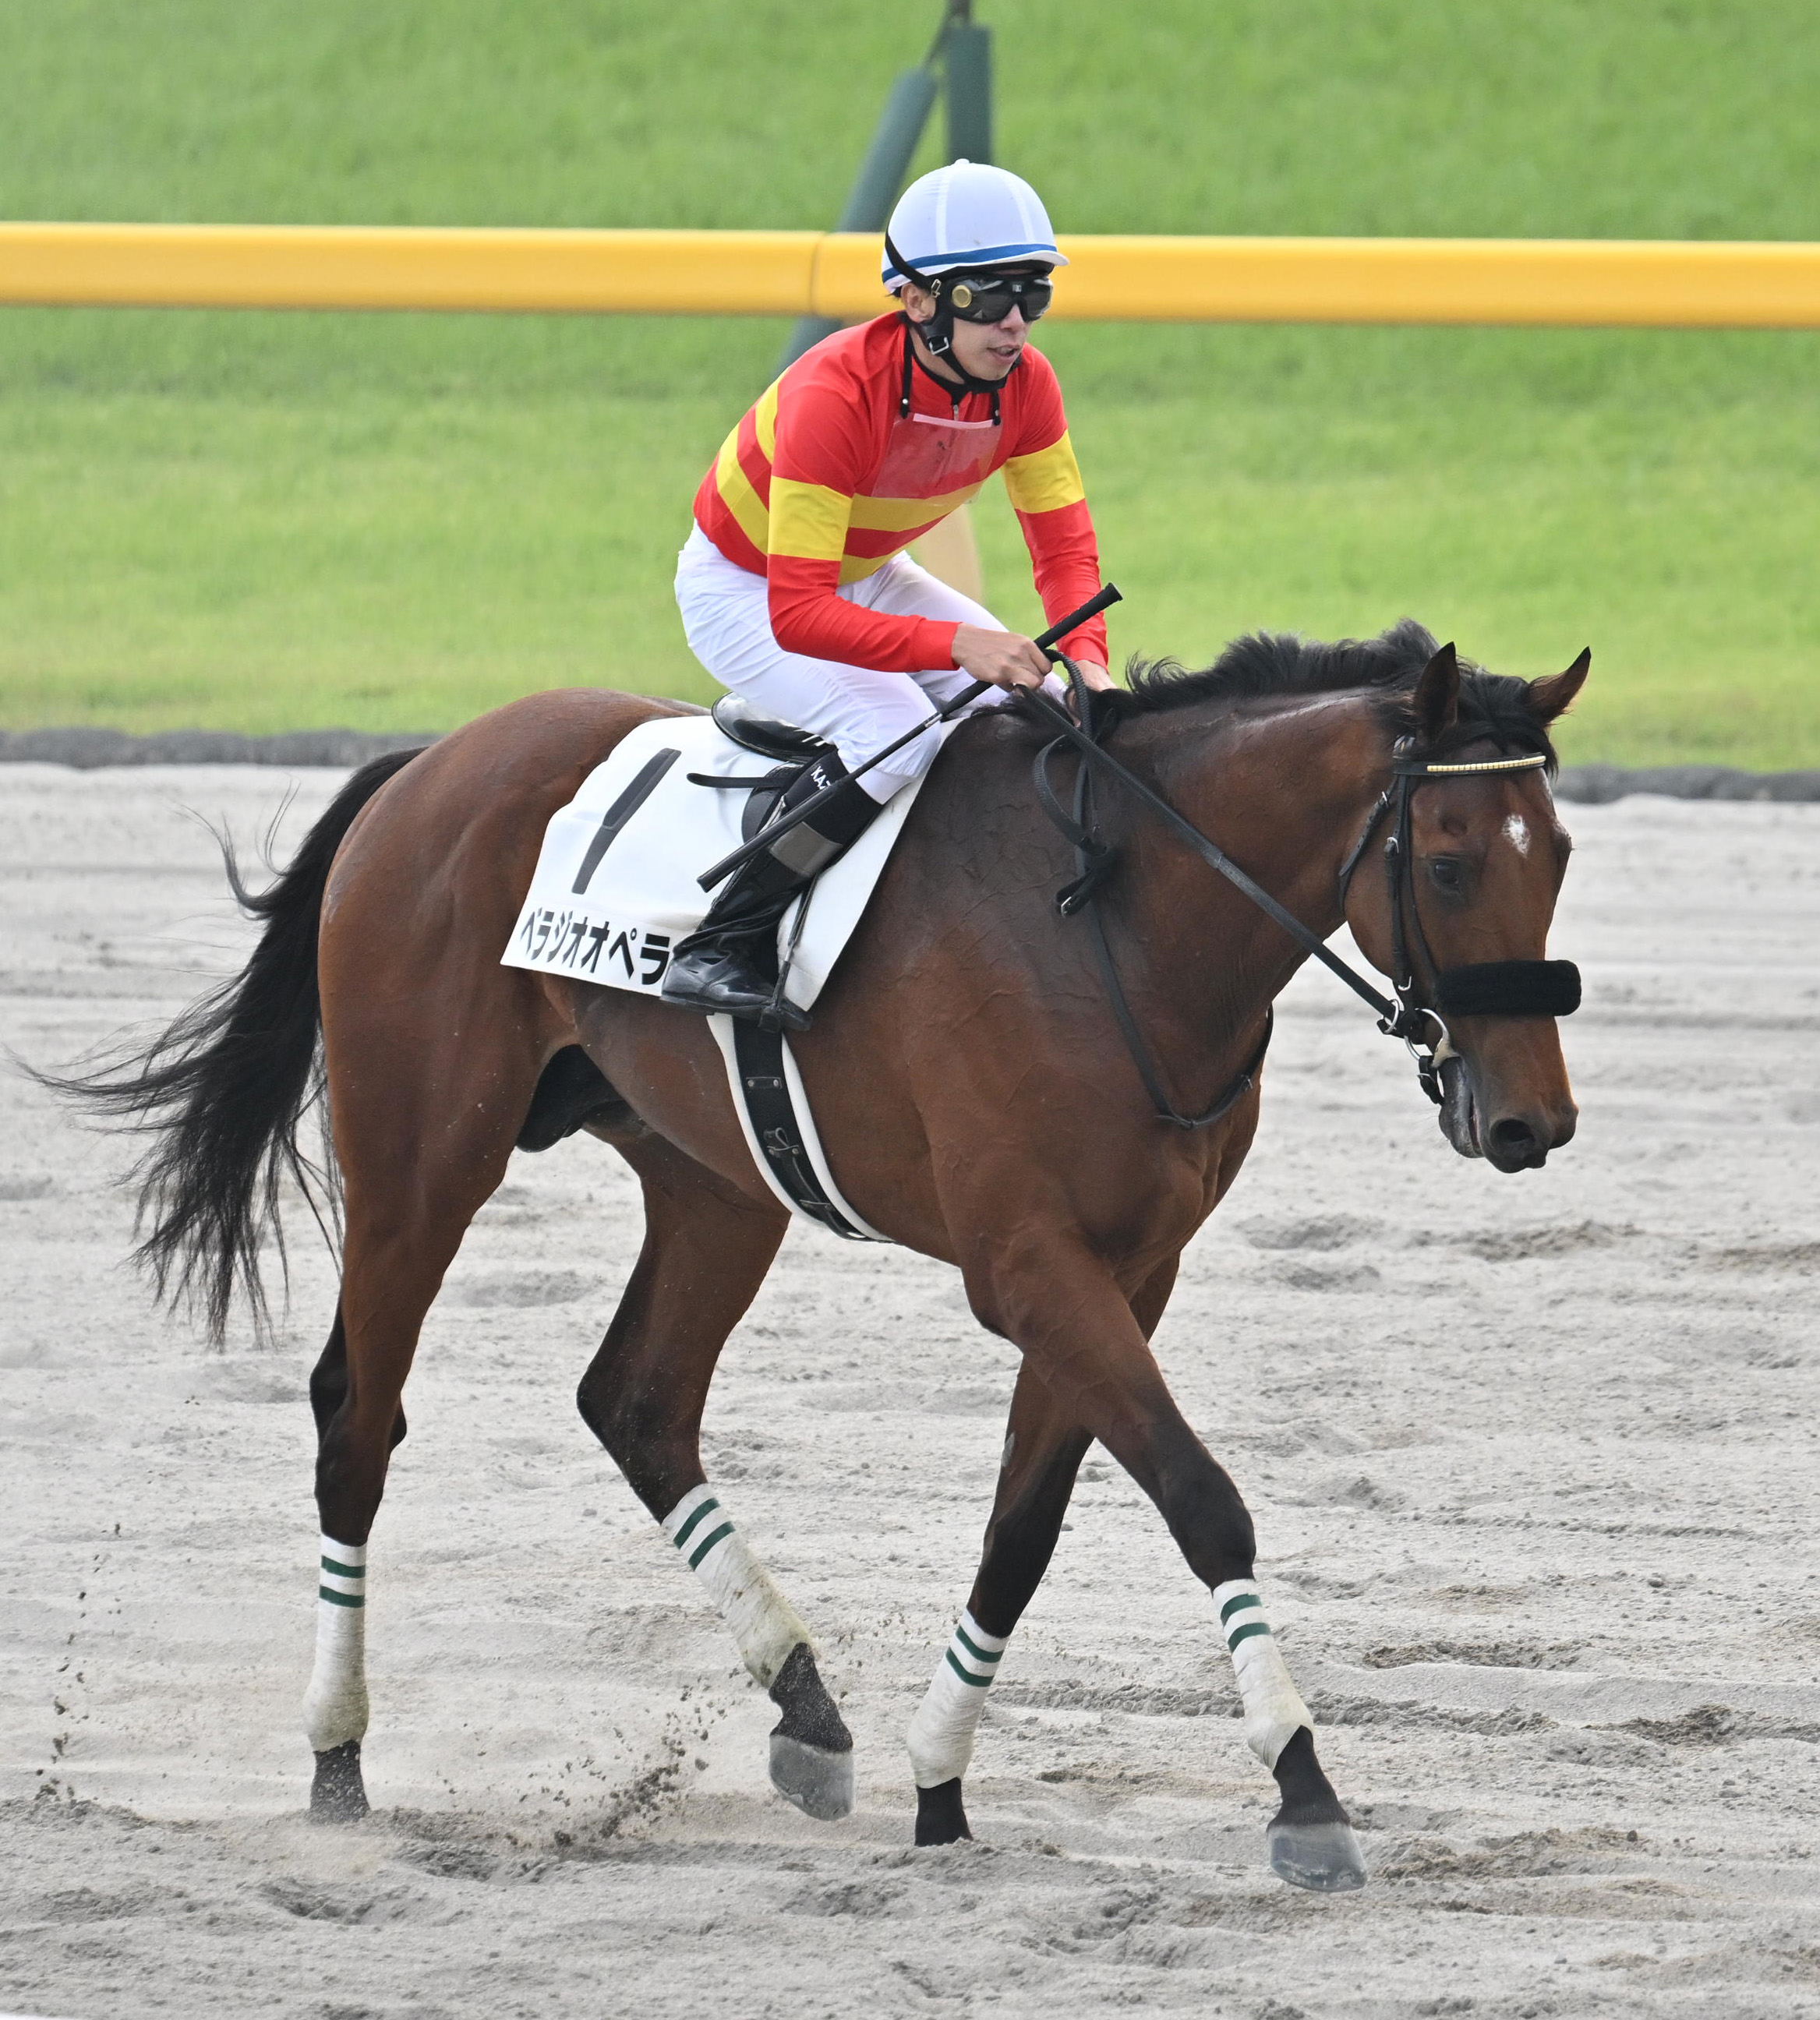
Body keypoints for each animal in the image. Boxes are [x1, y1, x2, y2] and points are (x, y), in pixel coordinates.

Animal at [56, 613, 1583, 1891]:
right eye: (1449, 861)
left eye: (1558, 855)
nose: (1532, 1122)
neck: (1121, 924)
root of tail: (429, 762)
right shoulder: (1027, 1264)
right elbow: (1202, 1497)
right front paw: (1304, 1788)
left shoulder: (1125, 1268)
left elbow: (1024, 1527)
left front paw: (940, 1784)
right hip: (420, 1162)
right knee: (358, 1417)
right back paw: (337, 1756)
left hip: (715, 1181)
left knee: (636, 1400)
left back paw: (806, 1709)